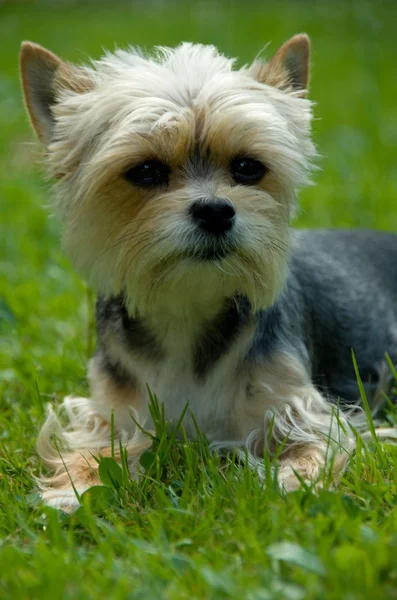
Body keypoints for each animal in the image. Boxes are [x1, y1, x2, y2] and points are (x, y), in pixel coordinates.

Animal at [19, 34, 396, 510]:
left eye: (248, 167)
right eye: (145, 171)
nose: (216, 210)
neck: (187, 307)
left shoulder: (300, 411)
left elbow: (315, 449)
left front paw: (285, 484)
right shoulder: (113, 414)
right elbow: (96, 450)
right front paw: (75, 488)